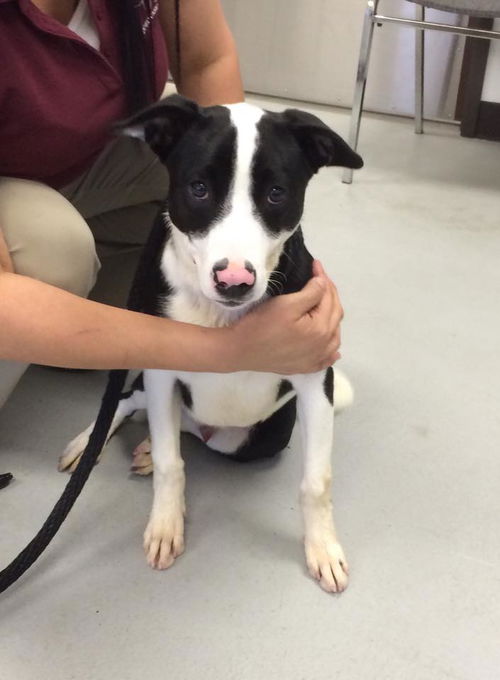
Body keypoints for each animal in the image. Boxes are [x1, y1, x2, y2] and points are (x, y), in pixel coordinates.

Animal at [60, 95, 362, 596]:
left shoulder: (315, 375)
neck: (222, 317)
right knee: (127, 402)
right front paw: (166, 524)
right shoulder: (161, 370)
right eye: (198, 188)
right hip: (152, 386)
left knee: (180, 431)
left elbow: (316, 481)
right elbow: (171, 465)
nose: (234, 281)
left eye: (276, 193)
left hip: (259, 436)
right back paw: (92, 444)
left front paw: (322, 548)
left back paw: (147, 447)